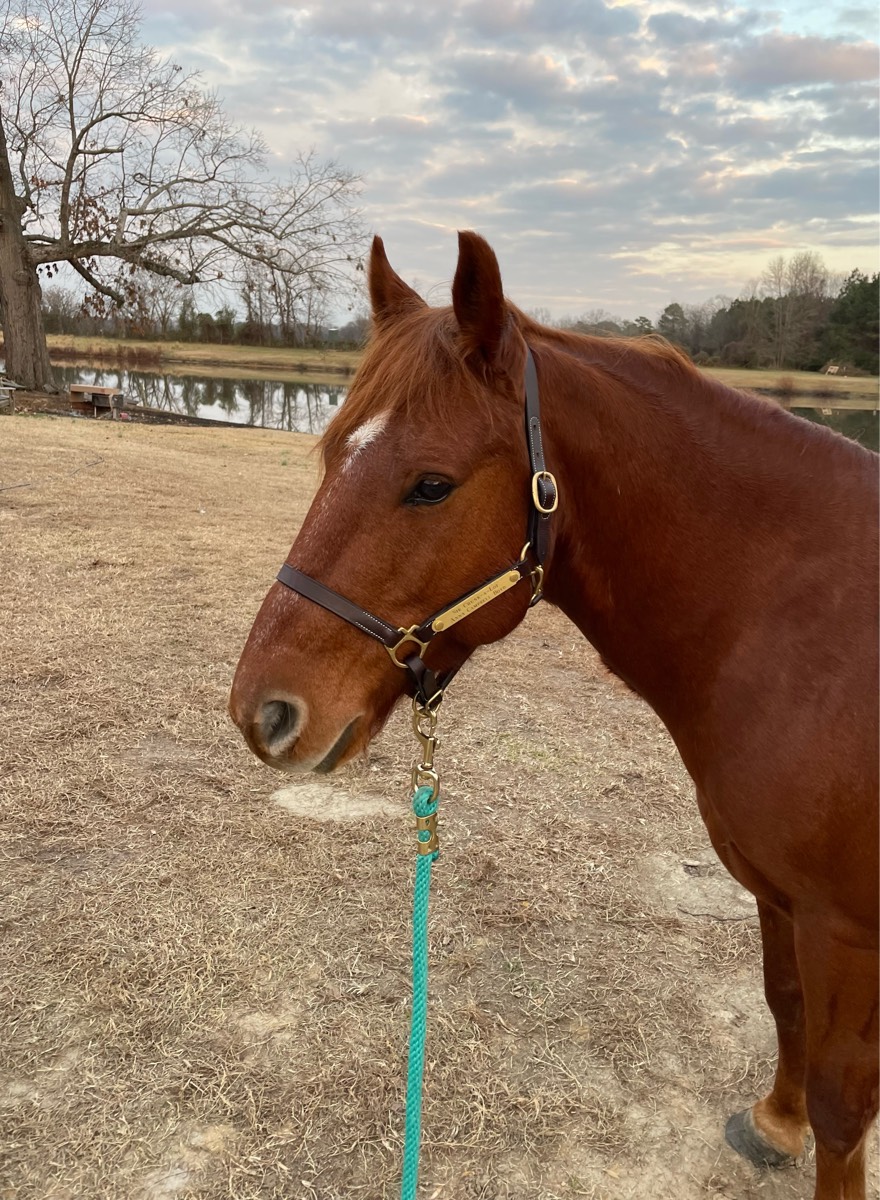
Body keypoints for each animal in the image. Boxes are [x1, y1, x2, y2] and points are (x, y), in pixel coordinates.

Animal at [229, 232, 879, 1199]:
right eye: (332, 453)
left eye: (431, 485)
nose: (260, 711)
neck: (807, 627)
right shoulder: (779, 897)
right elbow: (783, 1002)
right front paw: (777, 1121)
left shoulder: (845, 930)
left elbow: (843, 1109)